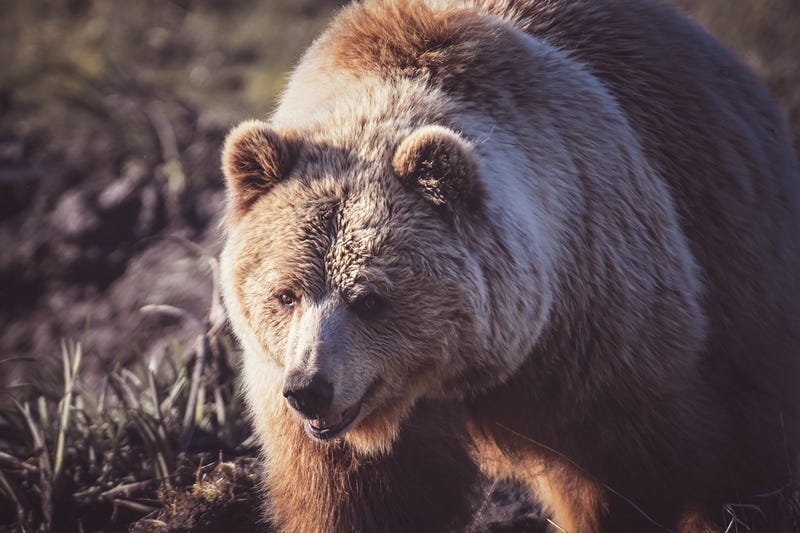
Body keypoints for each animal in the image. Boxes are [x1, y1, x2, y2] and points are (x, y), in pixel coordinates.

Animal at [217, 1, 800, 532]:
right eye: (286, 293)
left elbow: (623, 470)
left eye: (371, 298)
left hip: (740, 260)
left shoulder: (600, 327)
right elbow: (356, 498)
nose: (309, 387)